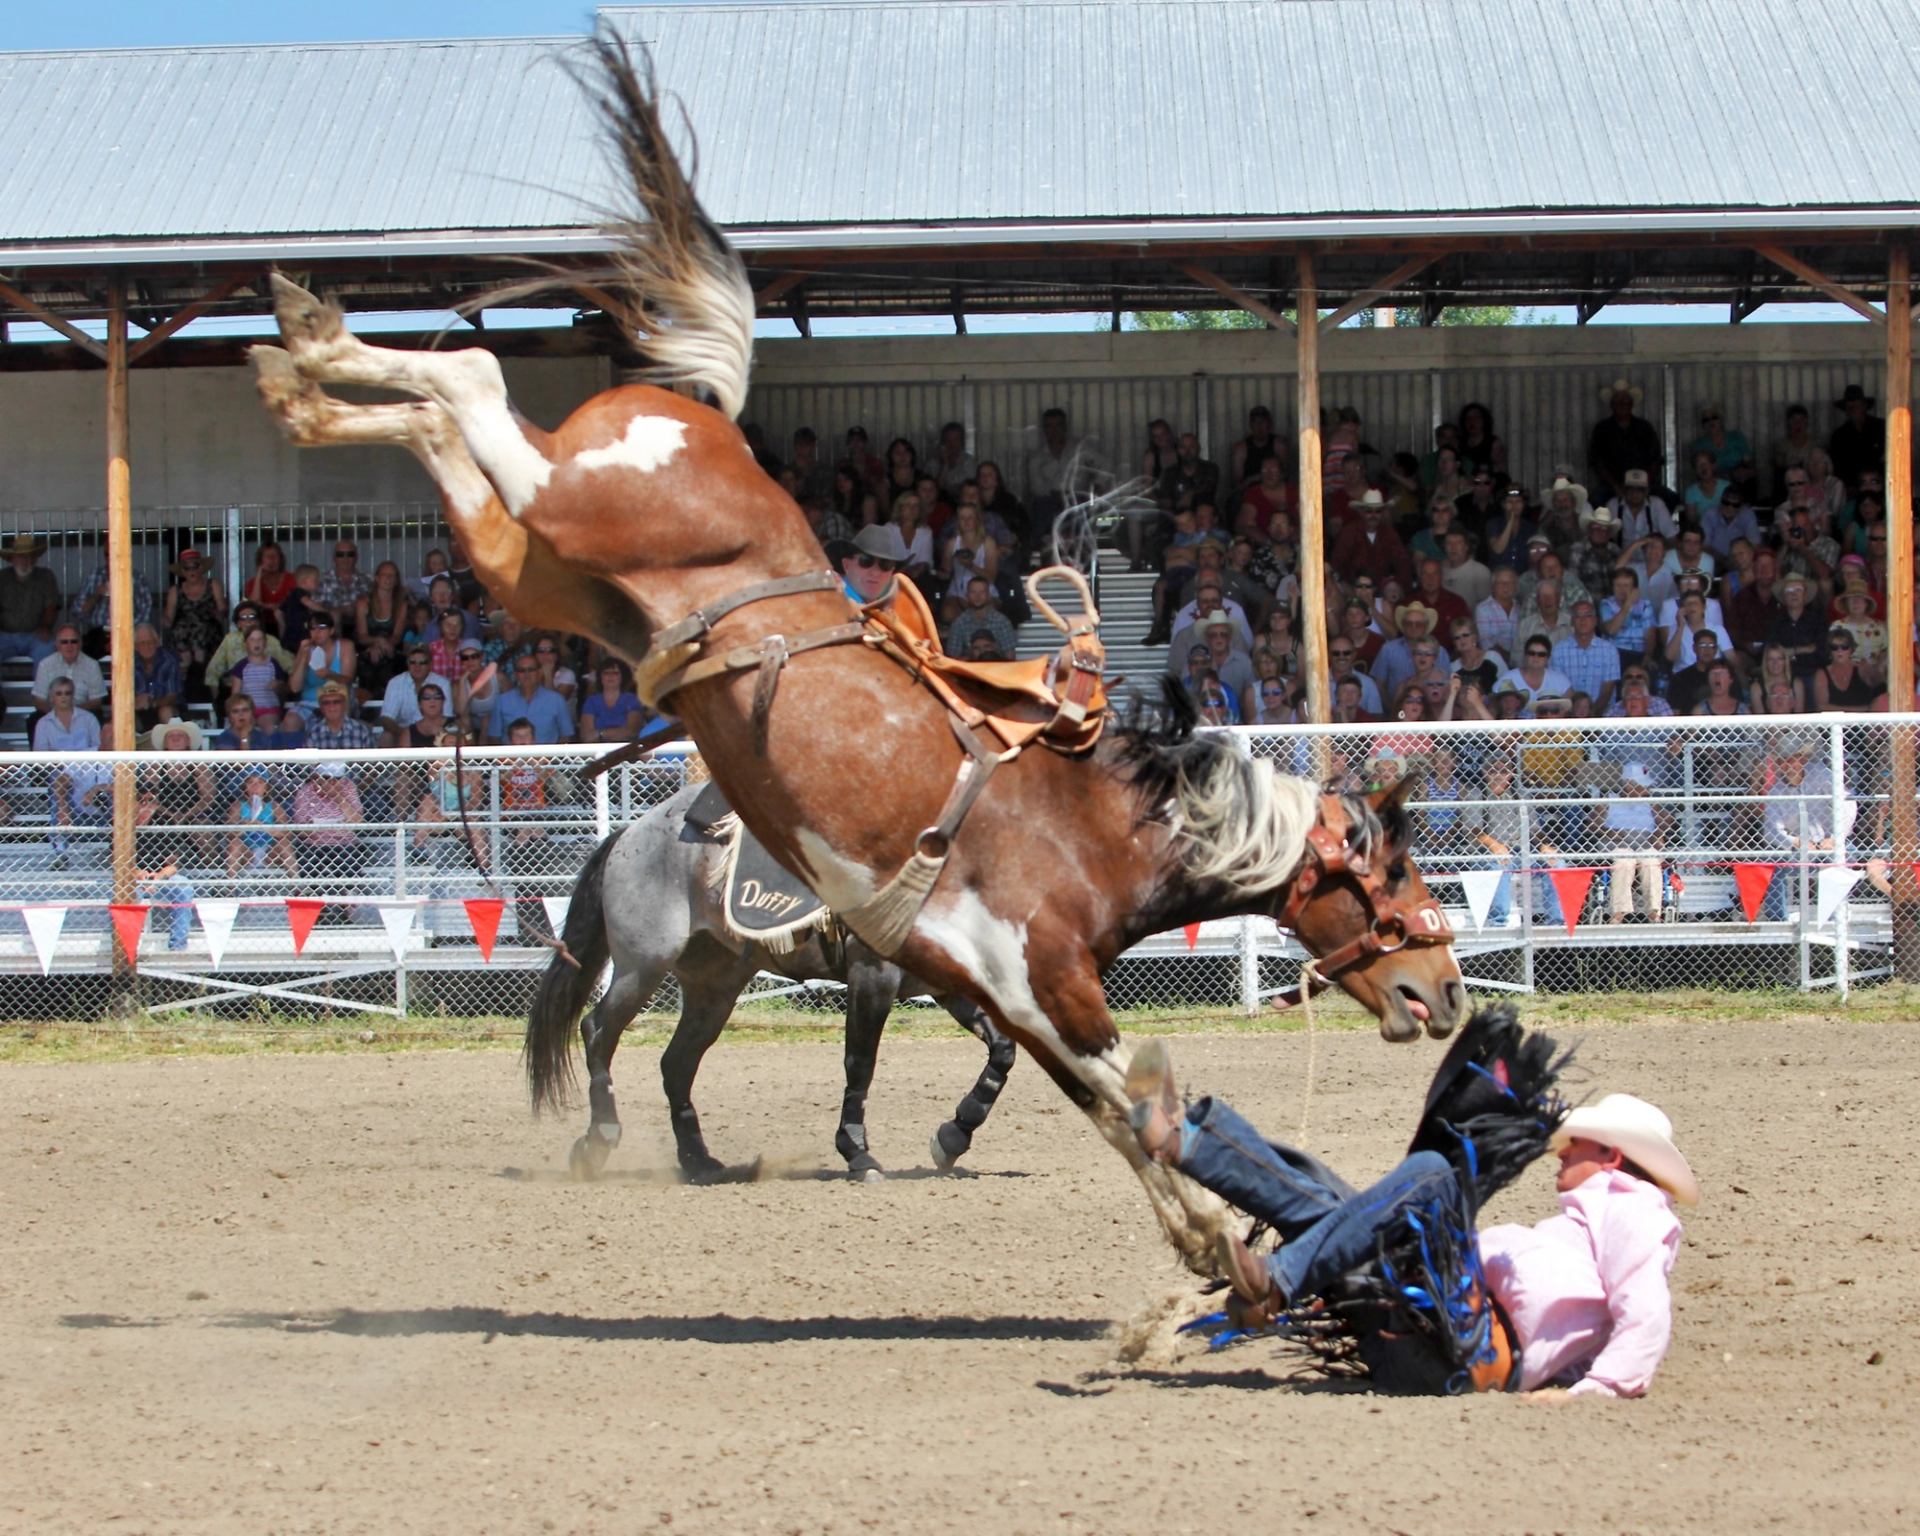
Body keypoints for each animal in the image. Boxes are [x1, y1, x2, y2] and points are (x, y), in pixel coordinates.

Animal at [525, 780, 1015, 1182]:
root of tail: (631, 833)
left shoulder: (944, 985)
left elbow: (1002, 1050)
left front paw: (953, 1136)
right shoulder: (872, 975)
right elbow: (860, 1063)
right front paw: (858, 1153)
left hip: (713, 988)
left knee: (676, 1063)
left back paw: (699, 1161)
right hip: (641, 966)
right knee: (598, 1032)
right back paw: (599, 1140)